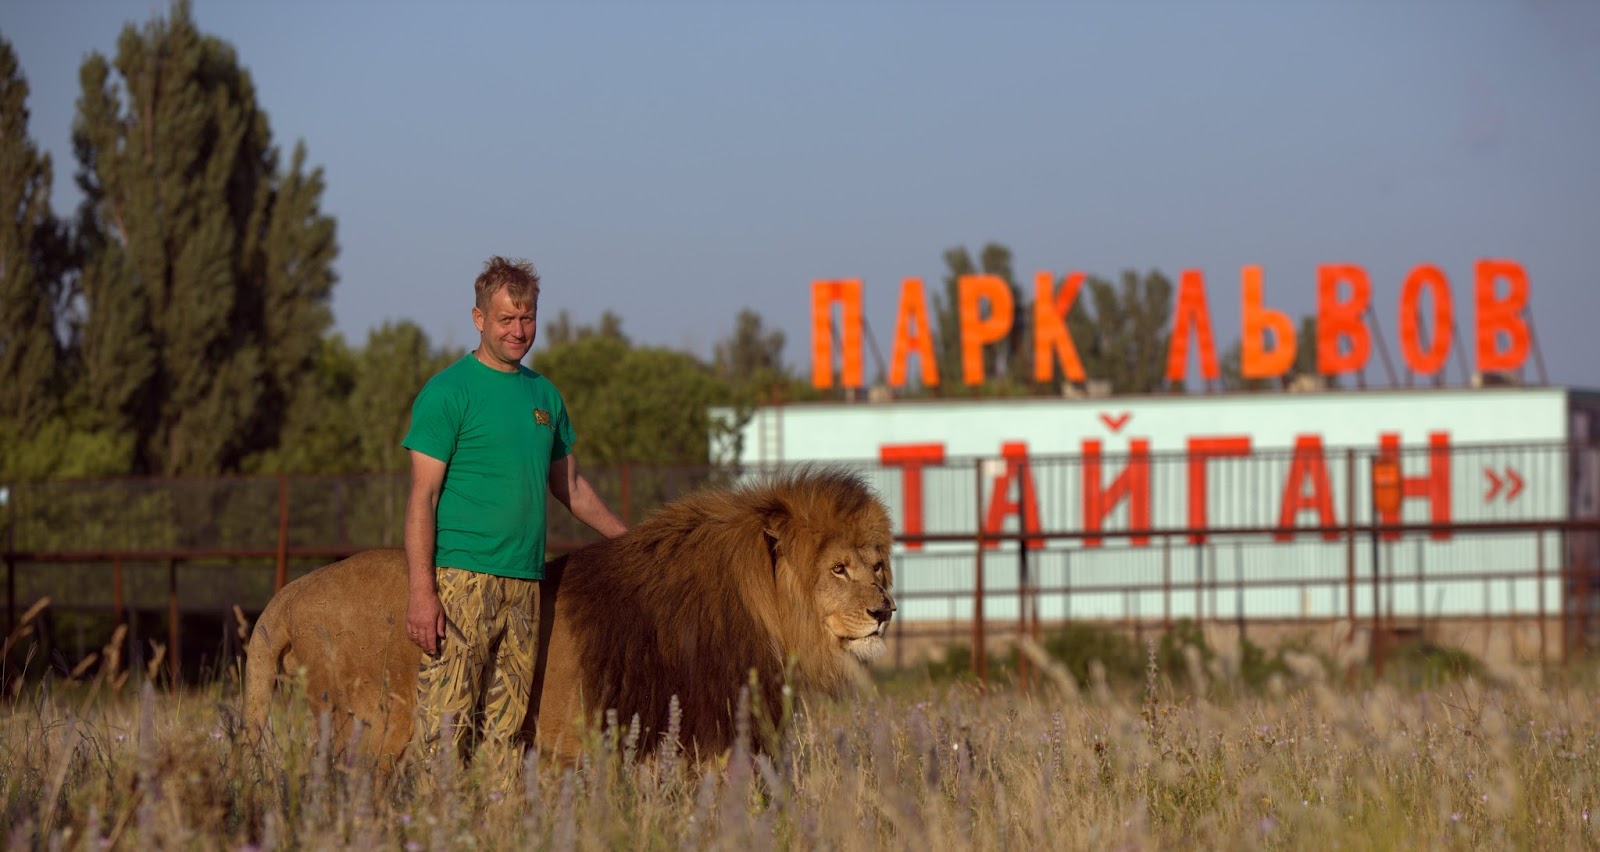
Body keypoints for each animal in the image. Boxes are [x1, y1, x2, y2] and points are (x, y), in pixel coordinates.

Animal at [249, 470, 902, 762]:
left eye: (877, 566)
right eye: (838, 569)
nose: (884, 612)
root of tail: (290, 593)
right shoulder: (700, 729)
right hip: (377, 730)